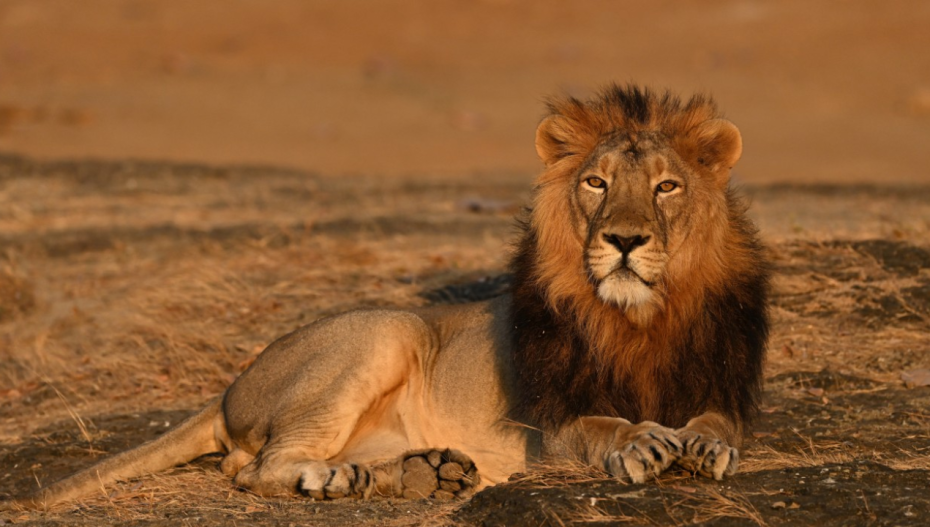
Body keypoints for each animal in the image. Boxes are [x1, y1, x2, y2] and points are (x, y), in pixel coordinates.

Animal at [9, 84, 769, 510]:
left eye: (667, 186)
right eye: (596, 182)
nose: (624, 240)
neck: (641, 316)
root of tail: (229, 388)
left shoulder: (722, 385)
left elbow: (716, 424)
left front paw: (701, 446)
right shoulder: (553, 422)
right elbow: (603, 426)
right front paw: (643, 441)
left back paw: (424, 476)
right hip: (386, 330)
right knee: (252, 467)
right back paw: (336, 481)